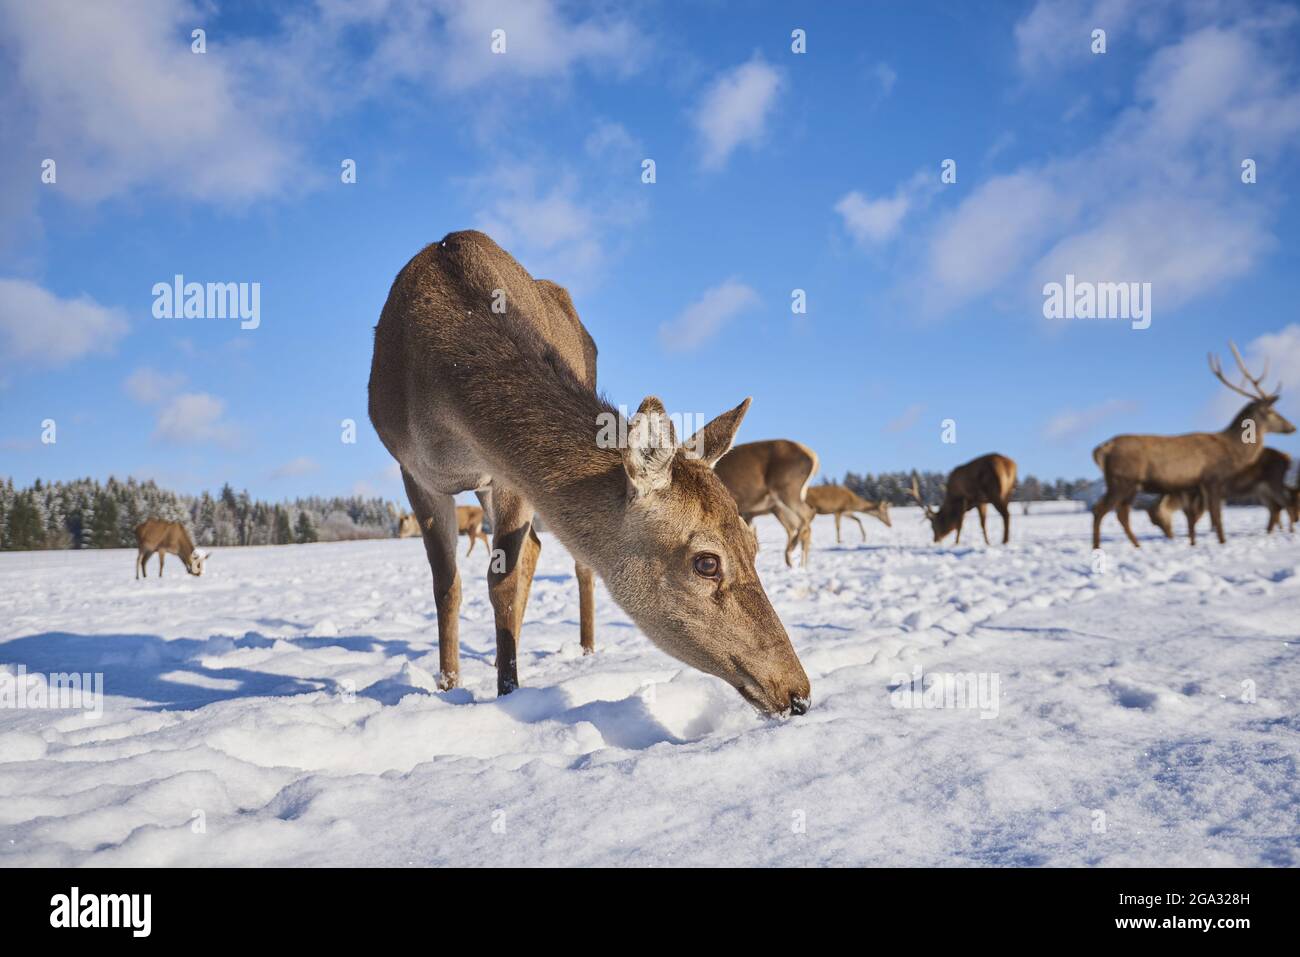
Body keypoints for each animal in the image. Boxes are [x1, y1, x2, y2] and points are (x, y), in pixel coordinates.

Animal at [369, 230, 811, 712]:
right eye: (707, 562)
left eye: (753, 544)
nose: (798, 691)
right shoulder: (412, 469)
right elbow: (447, 584)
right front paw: (448, 686)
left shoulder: (508, 476)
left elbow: (502, 580)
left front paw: (507, 690)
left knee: (564, 560)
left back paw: (583, 648)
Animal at [1154, 447, 1294, 540]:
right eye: (1154, 522)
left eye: (1159, 519)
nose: (1169, 536)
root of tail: (1287, 458)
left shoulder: (1205, 496)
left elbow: (1204, 515)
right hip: (1261, 489)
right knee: (1275, 507)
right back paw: (1269, 531)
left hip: (1273, 482)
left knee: (1286, 503)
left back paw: (1290, 529)